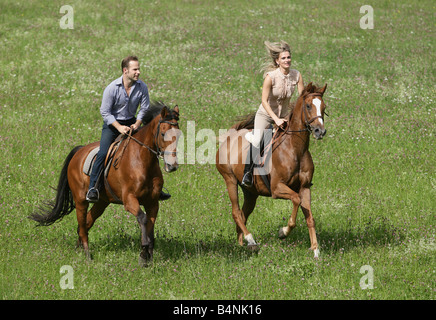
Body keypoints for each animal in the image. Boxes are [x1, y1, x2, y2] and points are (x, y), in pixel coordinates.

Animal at [30, 102, 181, 264]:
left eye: (179, 135)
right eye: (163, 134)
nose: (172, 166)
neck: (142, 161)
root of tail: (78, 152)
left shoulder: (153, 202)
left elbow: (150, 226)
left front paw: (149, 257)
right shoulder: (129, 200)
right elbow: (143, 219)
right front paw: (143, 253)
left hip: (102, 202)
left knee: (86, 223)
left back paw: (79, 250)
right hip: (81, 200)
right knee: (82, 226)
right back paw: (88, 256)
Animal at [215, 82, 328, 258]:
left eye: (324, 107)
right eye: (308, 106)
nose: (320, 131)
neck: (295, 149)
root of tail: (229, 137)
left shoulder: (305, 187)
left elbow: (310, 218)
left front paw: (316, 251)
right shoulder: (277, 188)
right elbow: (295, 199)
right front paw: (283, 232)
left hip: (251, 192)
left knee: (243, 214)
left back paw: (243, 244)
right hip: (230, 180)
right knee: (236, 212)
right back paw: (251, 240)